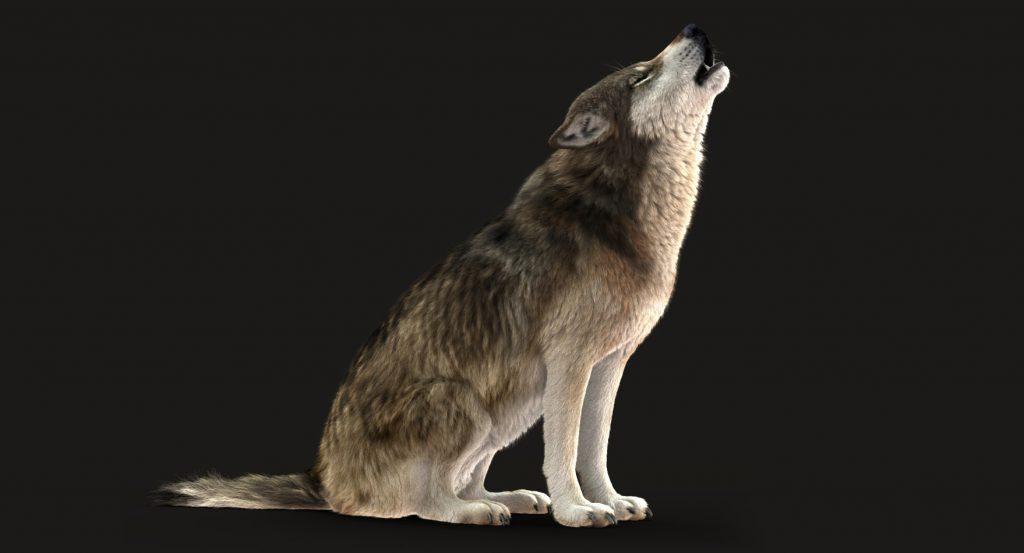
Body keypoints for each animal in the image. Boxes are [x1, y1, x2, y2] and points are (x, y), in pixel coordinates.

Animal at [157, 24, 730, 528]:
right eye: (640, 77)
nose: (694, 27)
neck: (626, 210)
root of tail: (322, 482)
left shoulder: (610, 363)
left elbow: (595, 448)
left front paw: (610, 500)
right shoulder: (570, 362)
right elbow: (564, 452)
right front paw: (577, 512)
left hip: (510, 411)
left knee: (464, 481)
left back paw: (506, 498)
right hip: (465, 402)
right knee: (427, 500)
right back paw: (475, 512)